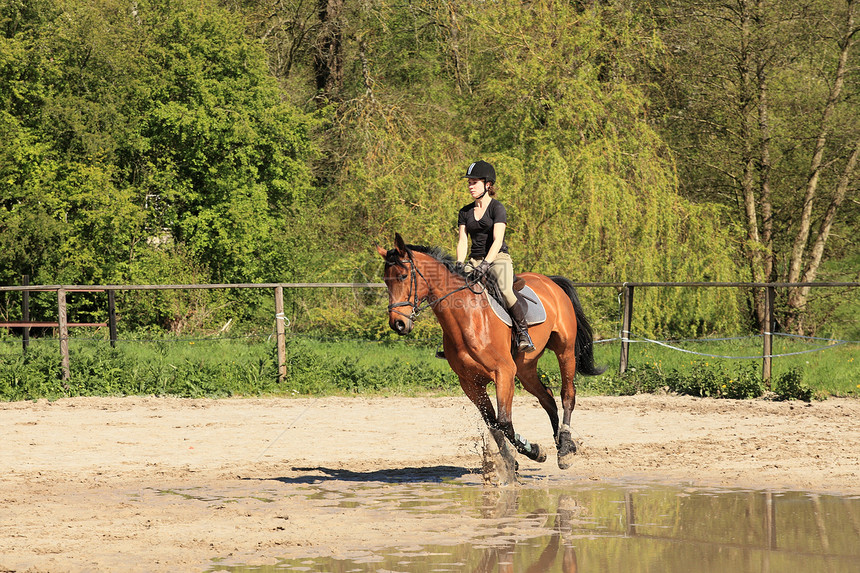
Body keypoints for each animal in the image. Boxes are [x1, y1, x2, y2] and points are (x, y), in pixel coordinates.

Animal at [376, 230, 604, 472]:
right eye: (386, 281)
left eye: (402, 276)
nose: (398, 324)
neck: (467, 318)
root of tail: (550, 281)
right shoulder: (470, 382)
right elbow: (493, 423)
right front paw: (511, 460)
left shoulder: (503, 373)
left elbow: (503, 422)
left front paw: (533, 451)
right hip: (525, 368)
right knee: (547, 399)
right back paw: (559, 443)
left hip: (565, 351)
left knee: (567, 395)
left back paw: (565, 449)